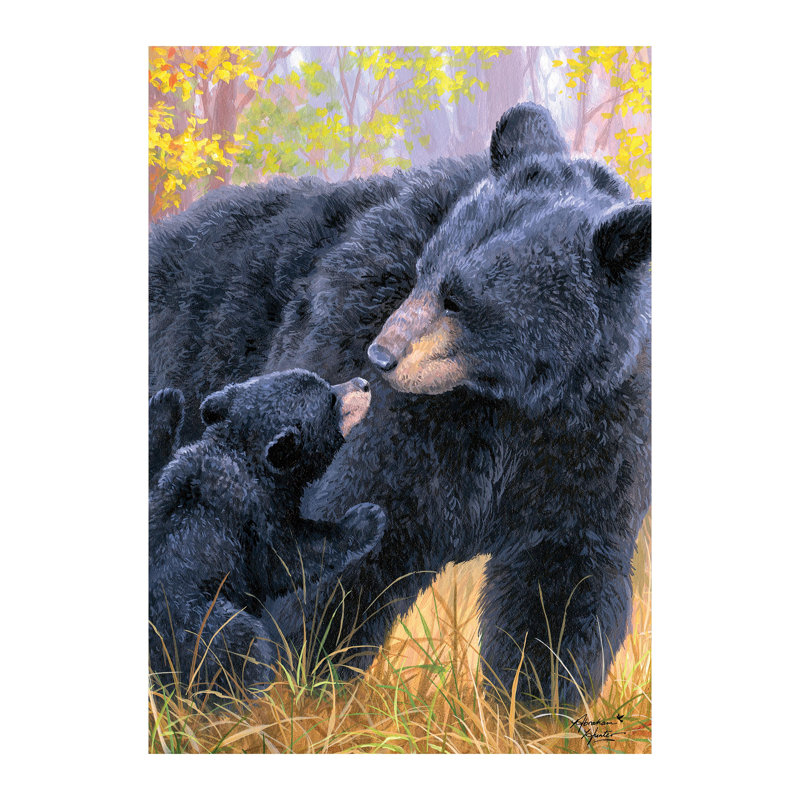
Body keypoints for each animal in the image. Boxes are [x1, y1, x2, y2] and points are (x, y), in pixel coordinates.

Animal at [148, 369, 386, 696]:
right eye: (331, 400)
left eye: (326, 383)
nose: (363, 384)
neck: (240, 454)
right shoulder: (252, 516)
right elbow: (287, 558)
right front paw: (366, 517)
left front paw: (167, 401)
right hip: (194, 628)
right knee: (242, 646)